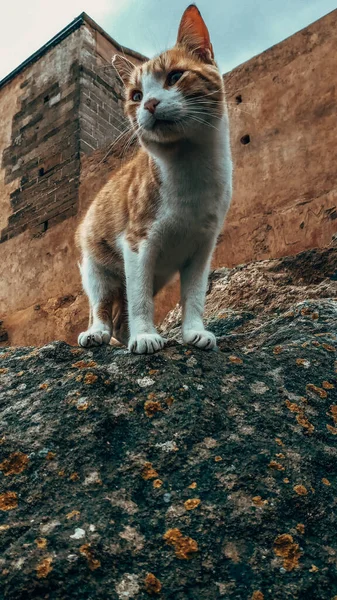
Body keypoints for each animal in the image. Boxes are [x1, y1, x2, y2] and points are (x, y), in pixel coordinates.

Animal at [77, 4, 231, 354]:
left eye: (175, 76)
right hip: (97, 269)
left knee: (120, 317)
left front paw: (194, 331)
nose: (149, 102)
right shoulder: (137, 246)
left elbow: (195, 296)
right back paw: (98, 333)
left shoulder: (202, 248)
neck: (188, 170)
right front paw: (146, 335)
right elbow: (140, 299)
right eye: (135, 95)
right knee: (103, 307)